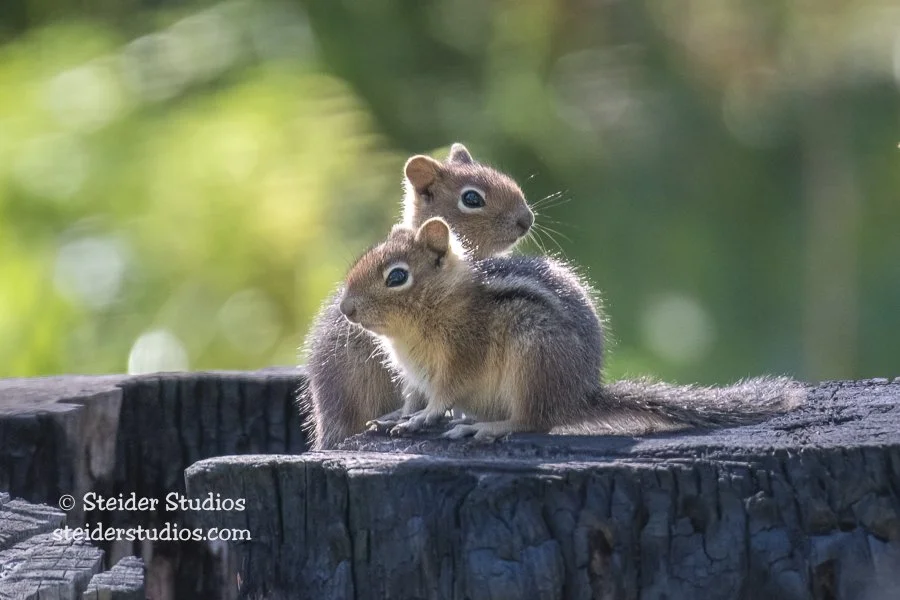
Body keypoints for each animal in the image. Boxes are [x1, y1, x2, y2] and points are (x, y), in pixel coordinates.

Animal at [338, 217, 805, 442]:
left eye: (397, 277)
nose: (345, 308)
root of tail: (580, 394)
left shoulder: (461, 357)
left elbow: (442, 398)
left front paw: (422, 420)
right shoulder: (416, 374)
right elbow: (415, 397)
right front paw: (398, 416)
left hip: (532, 359)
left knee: (533, 422)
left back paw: (487, 428)